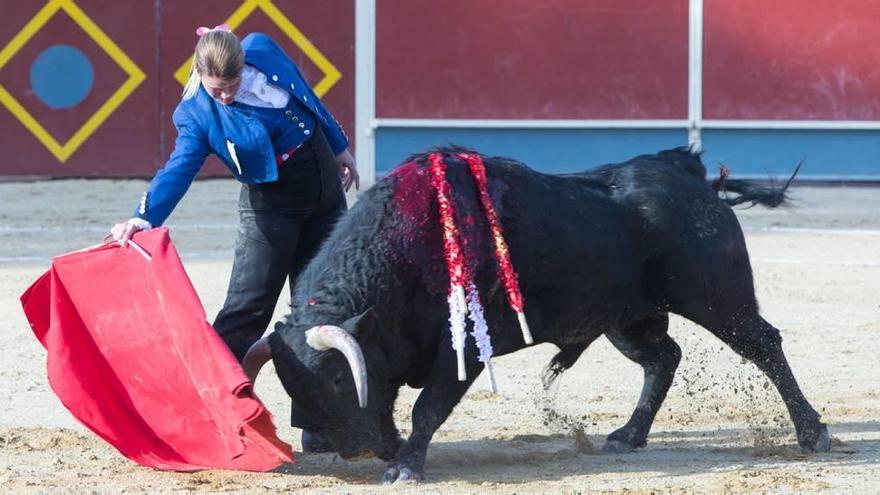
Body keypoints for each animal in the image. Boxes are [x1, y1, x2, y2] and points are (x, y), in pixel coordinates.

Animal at [241, 145, 824, 482]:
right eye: (291, 386)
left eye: (341, 379)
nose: (340, 449)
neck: (405, 253)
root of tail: (688, 174)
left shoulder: (462, 350)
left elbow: (428, 407)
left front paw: (406, 468)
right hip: (626, 319)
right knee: (664, 357)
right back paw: (628, 436)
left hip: (716, 299)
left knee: (764, 344)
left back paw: (812, 434)